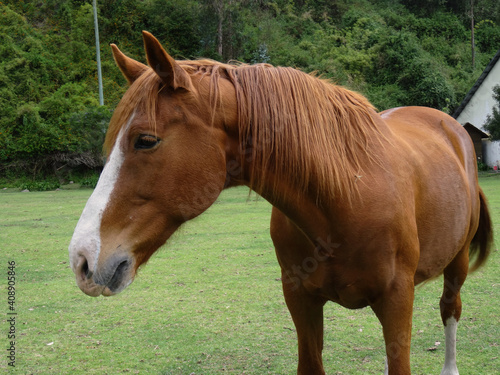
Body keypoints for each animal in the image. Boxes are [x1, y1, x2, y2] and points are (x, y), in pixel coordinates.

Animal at [68, 30, 494, 374]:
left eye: (145, 140)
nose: (82, 259)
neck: (347, 199)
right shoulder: (300, 301)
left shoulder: (396, 302)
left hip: (455, 265)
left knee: (450, 309)